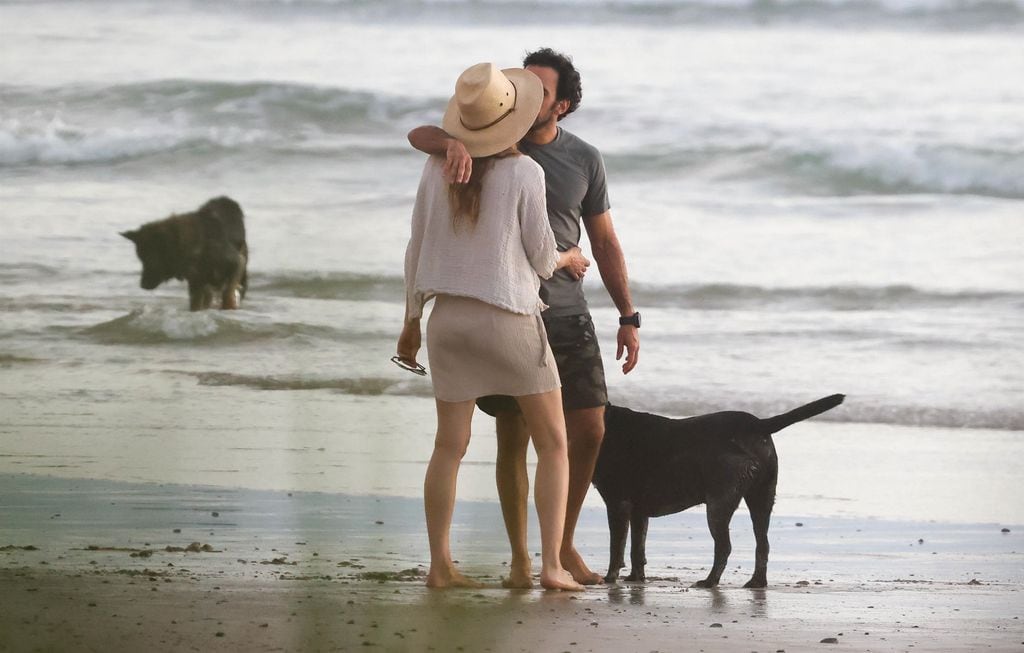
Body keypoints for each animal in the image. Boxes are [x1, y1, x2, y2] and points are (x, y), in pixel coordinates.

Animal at [118, 194, 246, 311]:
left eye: (150, 260)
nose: (142, 285)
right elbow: (196, 304)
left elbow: (227, 293)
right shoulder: (196, 283)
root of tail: (226, 199)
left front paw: (228, 305)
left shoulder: (237, 264)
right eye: (141, 259)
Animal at [598, 397, 843, 589]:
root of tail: (758, 424)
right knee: (762, 544)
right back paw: (756, 582)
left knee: (724, 546)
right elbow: (637, 549)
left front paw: (609, 578)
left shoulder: (617, 503)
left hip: (719, 501)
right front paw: (635, 578)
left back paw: (709, 581)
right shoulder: (639, 510)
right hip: (761, 497)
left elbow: (616, 547)